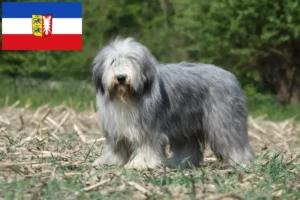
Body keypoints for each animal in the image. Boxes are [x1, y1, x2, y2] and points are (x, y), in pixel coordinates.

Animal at [91, 37, 253, 169]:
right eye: (113, 62)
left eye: (132, 61)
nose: (121, 77)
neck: (128, 97)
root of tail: (230, 76)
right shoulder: (116, 129)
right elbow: (116, 148)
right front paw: (108, 161)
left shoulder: (149, 128)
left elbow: (148, 146)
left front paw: (141, 163)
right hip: (185, 124)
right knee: (189, 146)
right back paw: (181, 162)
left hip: (223, 121)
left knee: (233, 141)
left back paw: (241, 161)